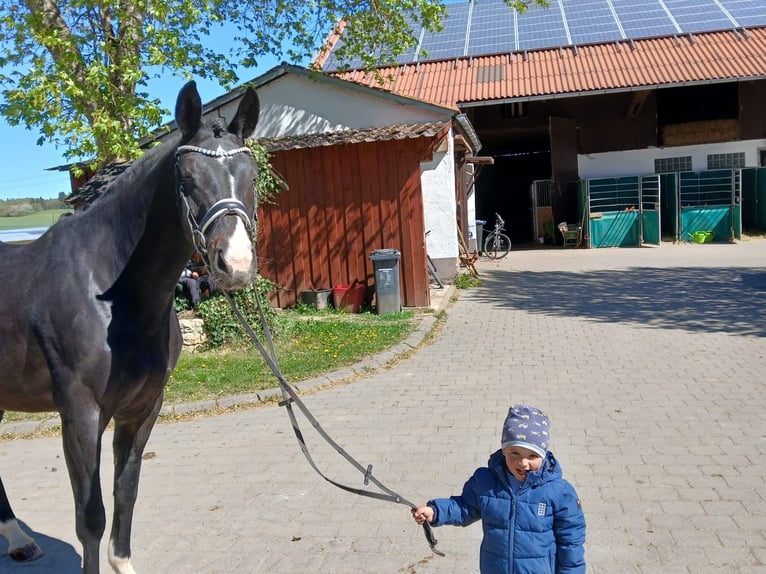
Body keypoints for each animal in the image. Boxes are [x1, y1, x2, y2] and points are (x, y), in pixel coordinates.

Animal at [0, 80, 260, 573]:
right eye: (188, 180)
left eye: (252, 177)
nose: (234, 266)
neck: (109, 293)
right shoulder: (80, 415)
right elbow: (90, 517)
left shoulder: (142, 408)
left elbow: (126, 492)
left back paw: (19, 540)